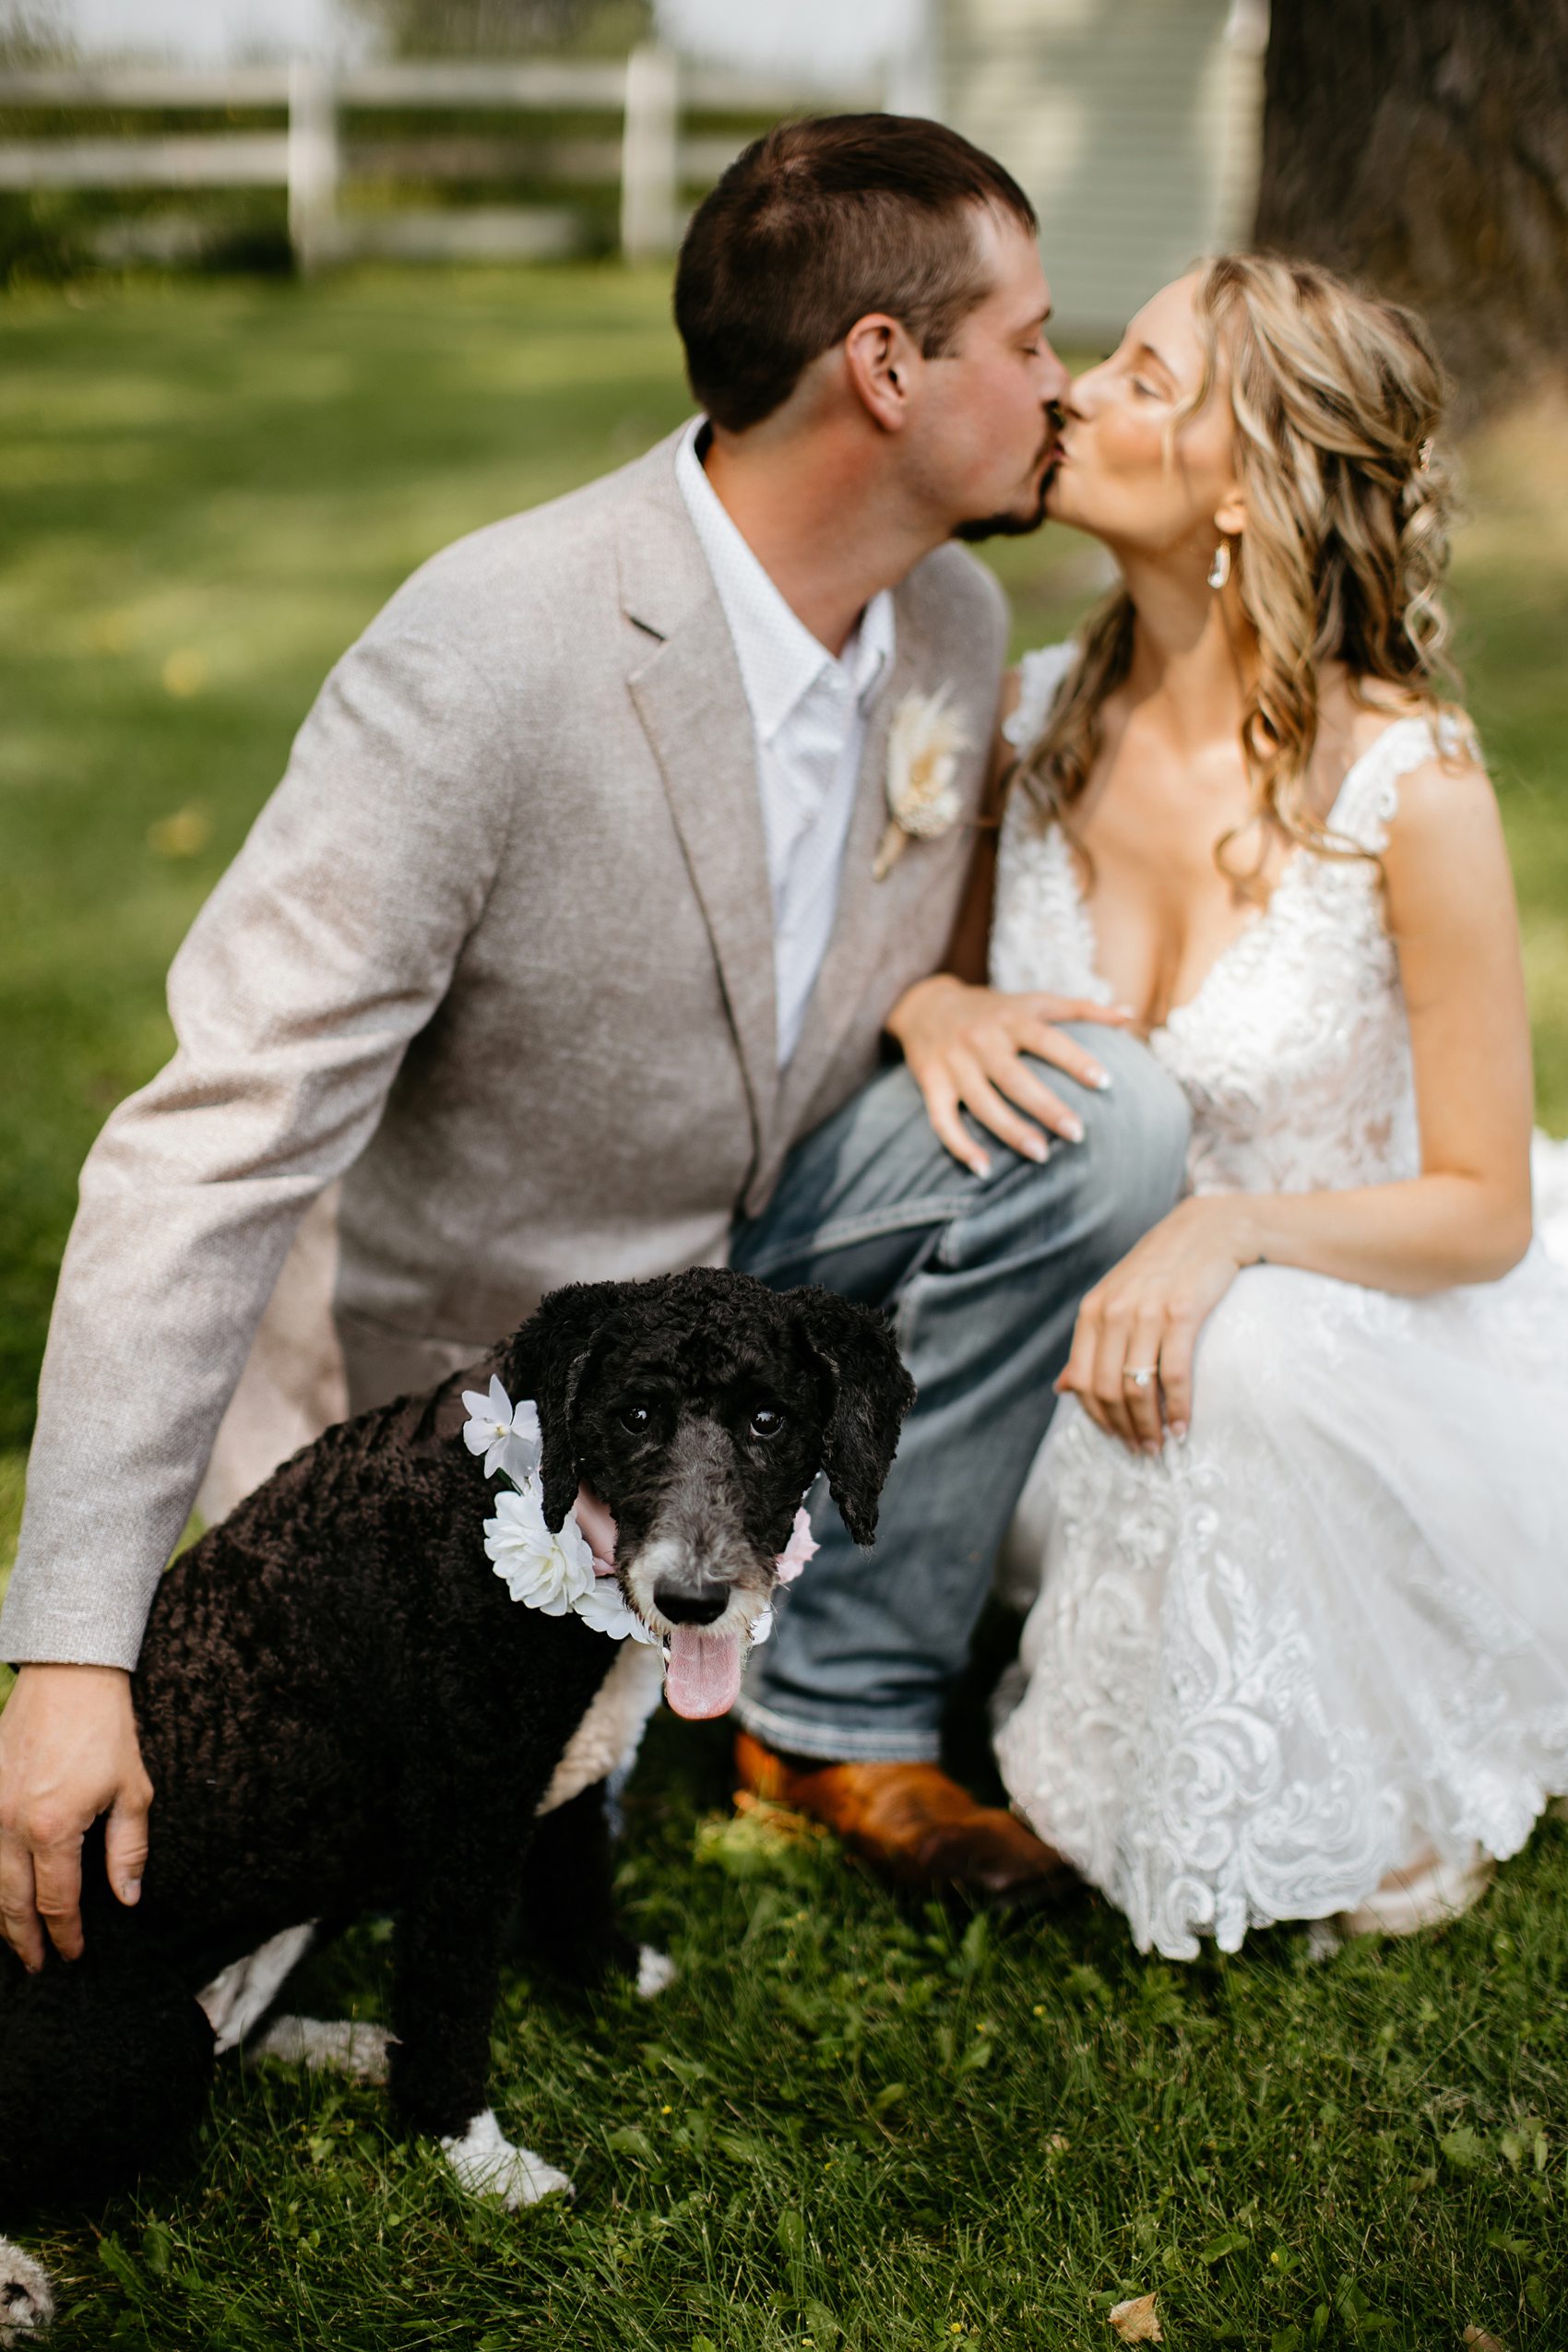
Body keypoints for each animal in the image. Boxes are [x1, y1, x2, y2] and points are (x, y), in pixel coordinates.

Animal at [0, 1270, 907, 2276]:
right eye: (635, 1415)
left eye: (767, 1420)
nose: (694, 1598)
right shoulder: (466, 1817)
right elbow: (452, 1993)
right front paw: (477, 2155)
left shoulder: (560, 1777)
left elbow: (578, 1876)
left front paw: (612, 1973)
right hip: (136, 2048)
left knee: (238, 2036)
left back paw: (356, 2048)